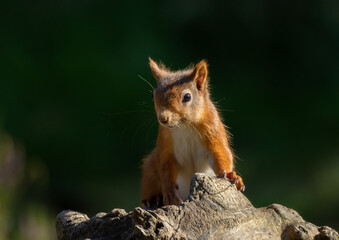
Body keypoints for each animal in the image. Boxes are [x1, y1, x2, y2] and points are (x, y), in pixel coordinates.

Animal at [141, 57, 244, 206]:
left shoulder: (213, 129)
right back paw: (154, 198)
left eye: (187, 97)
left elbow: (221, 153)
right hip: (150, 167)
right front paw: (169, 191)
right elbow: (165, 166)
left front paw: (232, 175)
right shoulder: (165, 142)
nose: (163, 118)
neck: (185, 126)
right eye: (153, 95)